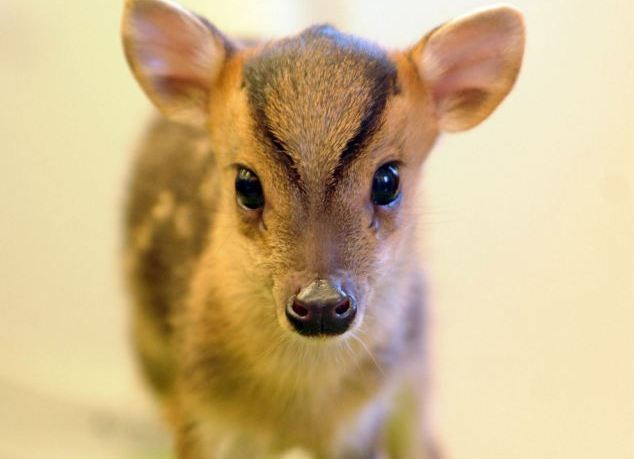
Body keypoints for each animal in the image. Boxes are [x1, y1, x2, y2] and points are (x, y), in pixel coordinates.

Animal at [119, 1, 524, 458]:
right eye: (246, 184)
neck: (298, 409)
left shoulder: (362, 423)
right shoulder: (201, 417)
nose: (321, 304)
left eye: (388, 180)